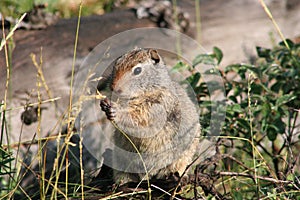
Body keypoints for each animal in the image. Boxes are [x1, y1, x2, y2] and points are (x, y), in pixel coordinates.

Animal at [99, 48, 200, 183]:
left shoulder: (156, 108)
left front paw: (116, 111)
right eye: (117, 63)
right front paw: (104, 104)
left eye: (137, 70)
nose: (113, 87)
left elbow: (137, 118)